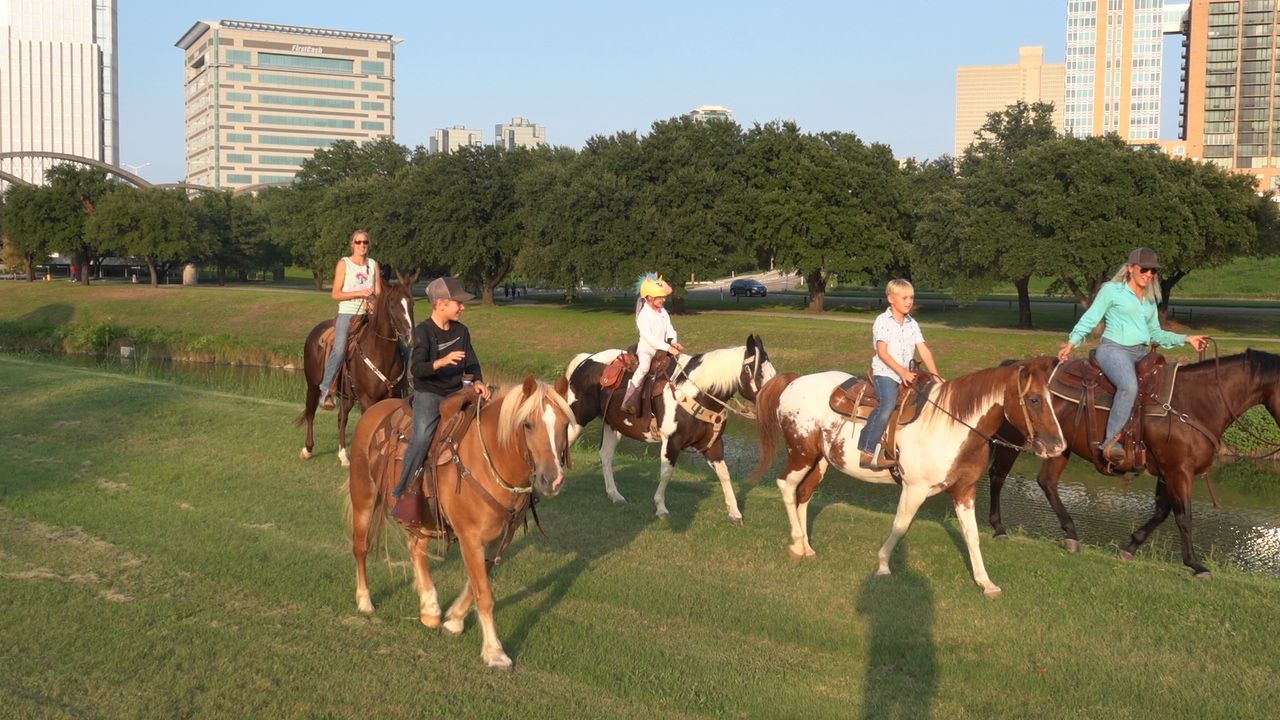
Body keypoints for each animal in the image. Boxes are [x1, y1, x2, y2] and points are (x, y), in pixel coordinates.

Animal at [296, 280, 416, 467]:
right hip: (313, 386)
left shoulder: (390, 397)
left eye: (412, 303)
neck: (380, 352)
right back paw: (307, 450)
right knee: (310, 413)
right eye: (393, 305)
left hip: (347, 395)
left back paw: (343, 455)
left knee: (342, 418)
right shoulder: (367, 399)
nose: (410, 337)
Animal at [347, 376, 574, 670]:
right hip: (363, 496)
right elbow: (484, 594)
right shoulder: (470, 537)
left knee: (416, 549)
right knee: (361, 547)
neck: (491, 460)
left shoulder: (498, 540)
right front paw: (495, 652)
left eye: (565, 424)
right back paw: (365, 600)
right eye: (527, 424)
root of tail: (374, 411)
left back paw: (430, 607)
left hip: (422, 516)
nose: (553, 480)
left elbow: (475, 585)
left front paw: (453, 621)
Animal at [557, 335, 776, 523]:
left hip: (613, 425)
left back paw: (615, 495)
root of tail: (586, 360)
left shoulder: (712, 445)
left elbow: (724, 473)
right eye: (757, 371)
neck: (695, 393)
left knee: (605, 455)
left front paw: (735, 512)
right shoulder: (672, 442)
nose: (772, 400)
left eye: (773, 372)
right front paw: (661, 508)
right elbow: (666, 473)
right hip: (578, 419)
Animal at [750, 356, 1066, 597]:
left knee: (804, 495)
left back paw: (804, 547)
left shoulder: (965, 490)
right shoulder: (915, 488)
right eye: (1034, 399)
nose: (1058, 446)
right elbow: (901, 526)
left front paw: (985, 582)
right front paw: (883, 566)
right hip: (800, 455)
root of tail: (794, 381)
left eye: (1053, 400)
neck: (952, 426)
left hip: (819, 462)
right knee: (786, 486)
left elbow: (972, 535)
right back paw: (796, 541)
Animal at [986, 349, 1280, 577]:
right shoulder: (1178, 470)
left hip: (1060, 447)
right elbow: (1184, 516)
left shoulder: (1167, 471)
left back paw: (1071, 534)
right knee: (998, 475)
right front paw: (1196, 565)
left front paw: (1130, 547)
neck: (1195, 403)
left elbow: (1162, 511)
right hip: (1012, 439)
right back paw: (999, 528)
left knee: (1046, 482)